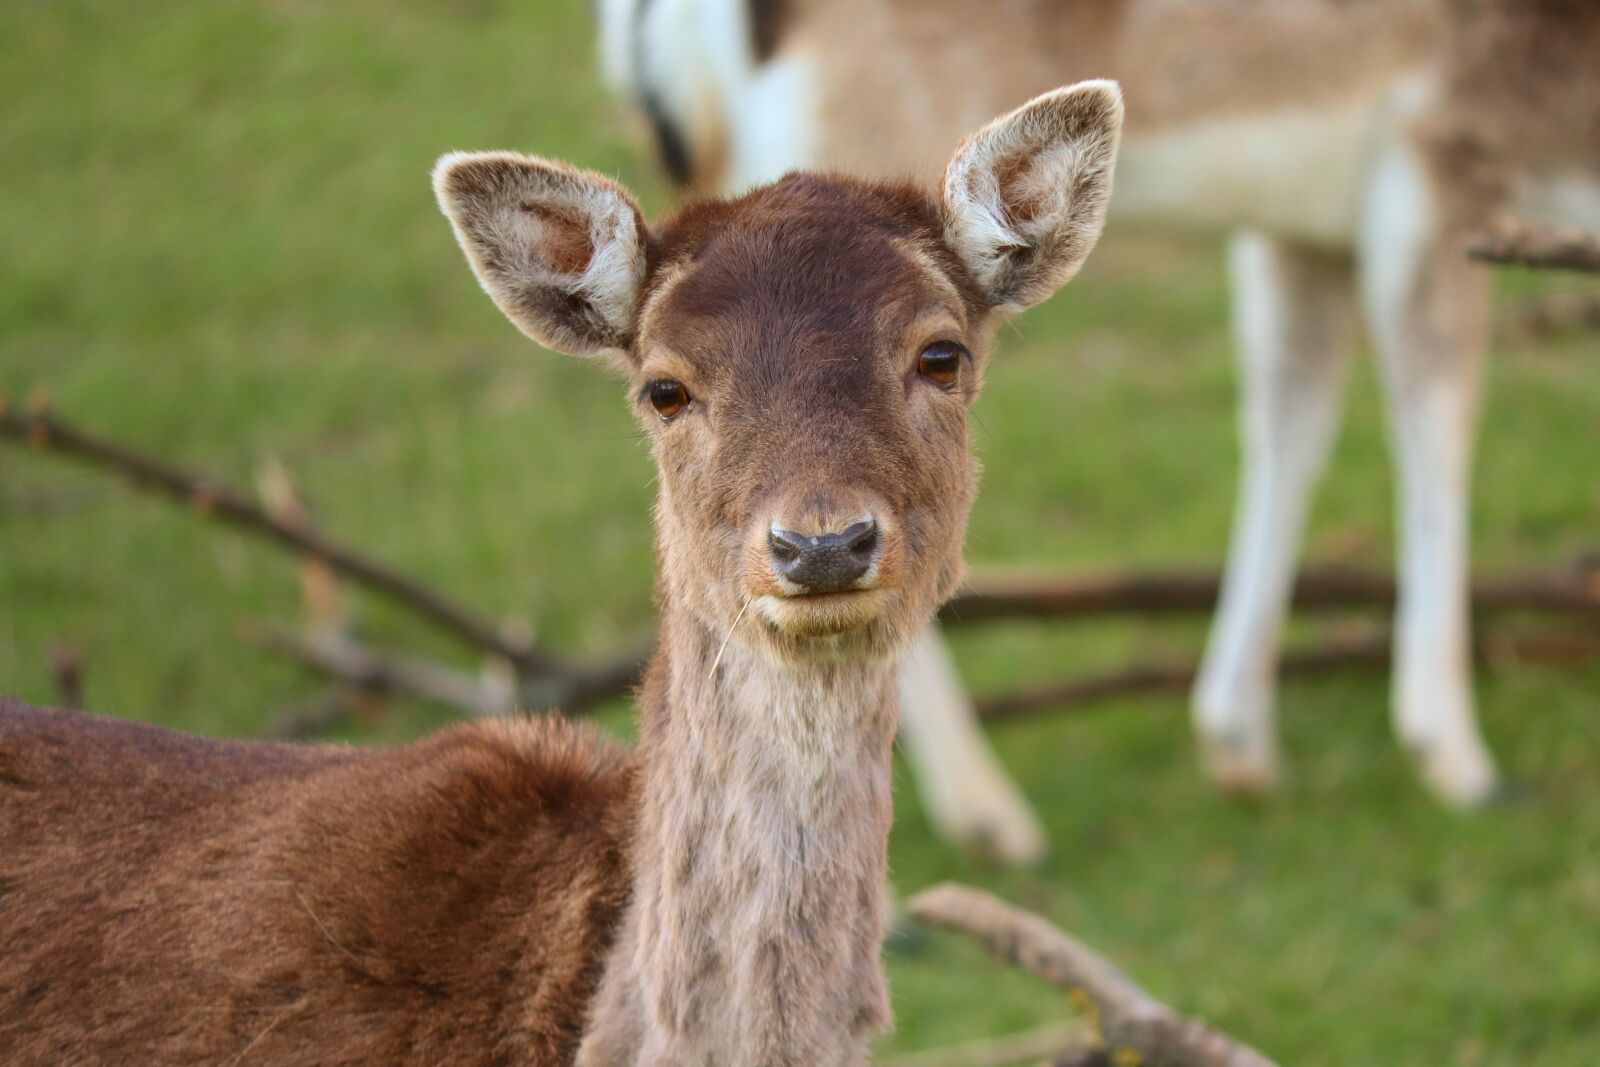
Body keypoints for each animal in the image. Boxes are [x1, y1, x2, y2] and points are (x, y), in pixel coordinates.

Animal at [600, 0, 1600, 816]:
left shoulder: (1305, 216)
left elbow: (1289, 416)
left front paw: (1240, 742)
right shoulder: (1430, 151)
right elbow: (1436, 412)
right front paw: (1463, 762)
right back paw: (990, 817)